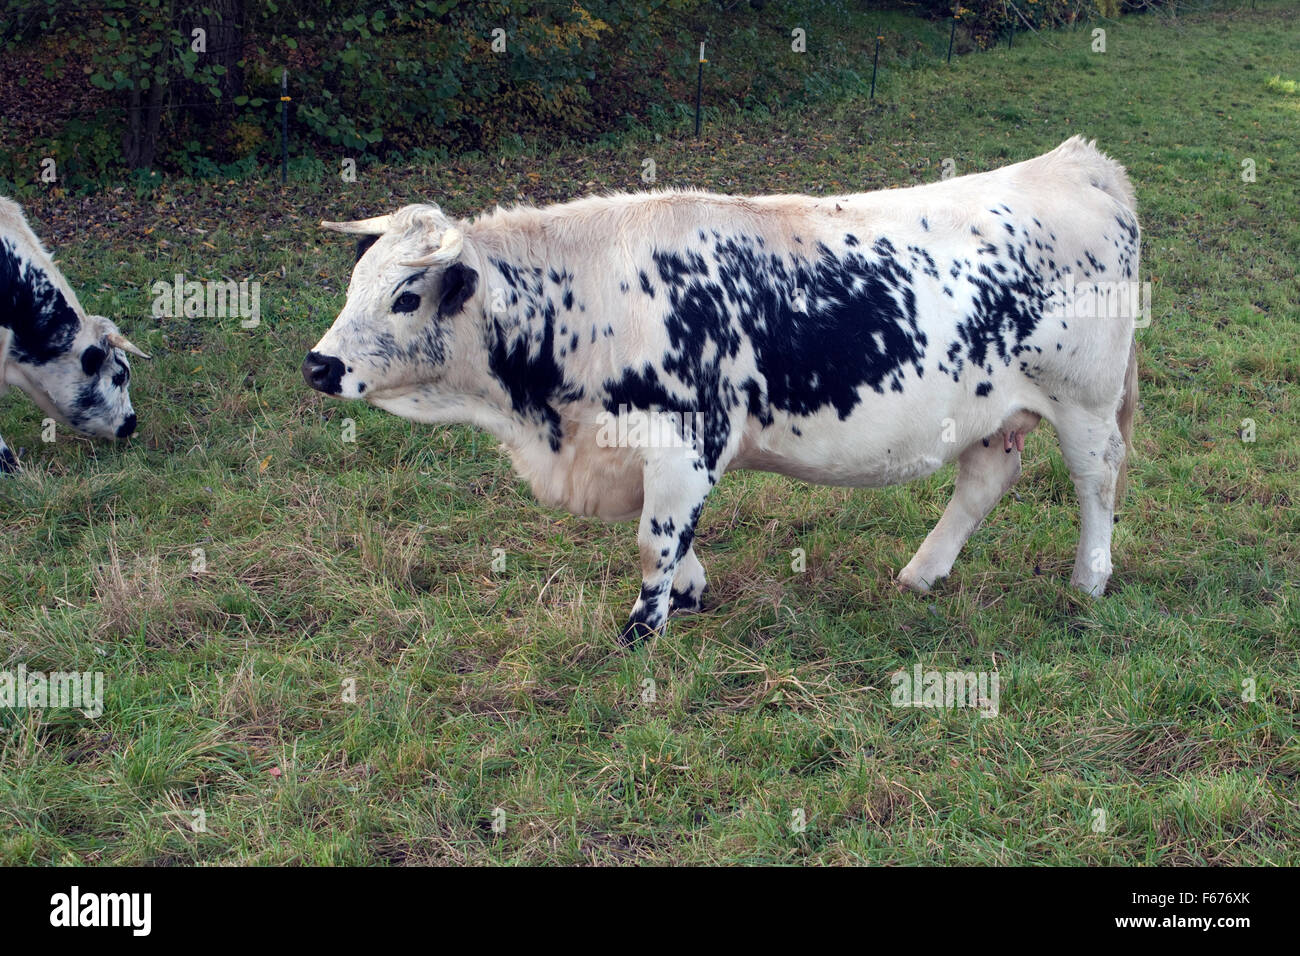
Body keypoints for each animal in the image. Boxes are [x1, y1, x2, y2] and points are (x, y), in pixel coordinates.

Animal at [304, 138, 1138, 647]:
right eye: (354, 282)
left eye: (405, 297)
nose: (317, 365)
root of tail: (1079, 163)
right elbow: (669, 533)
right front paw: (689, 592)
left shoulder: (684, 437)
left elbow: (654, 538)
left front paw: (643, 632)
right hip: (990, 408)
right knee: (985, 478)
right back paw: (921, 573)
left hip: (1085, 401)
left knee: (1097, 479)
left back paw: (1090, 580)